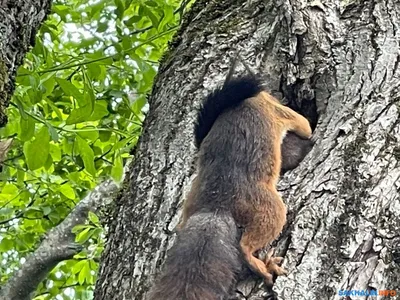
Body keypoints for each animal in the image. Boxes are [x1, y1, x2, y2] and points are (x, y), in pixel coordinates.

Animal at [147, 59, 312, 300]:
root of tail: (216, 206)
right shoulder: (281, 112)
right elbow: (303, 123)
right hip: (270, 209)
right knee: (246, 247)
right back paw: (264, 266)